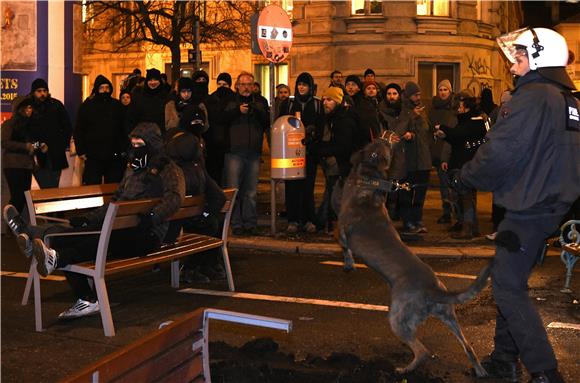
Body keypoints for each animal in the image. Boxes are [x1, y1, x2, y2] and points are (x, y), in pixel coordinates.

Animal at [336, 141, 490, 378]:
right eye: (378, 146)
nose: (387, 139)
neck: (369, 182)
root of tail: (433, 290)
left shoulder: (342, 231)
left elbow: (345, 249)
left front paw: (348, 265)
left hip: (397, 318)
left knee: (423, 351)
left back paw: (404, 370)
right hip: (449, 316)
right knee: (468, 347)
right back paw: (480, 370)